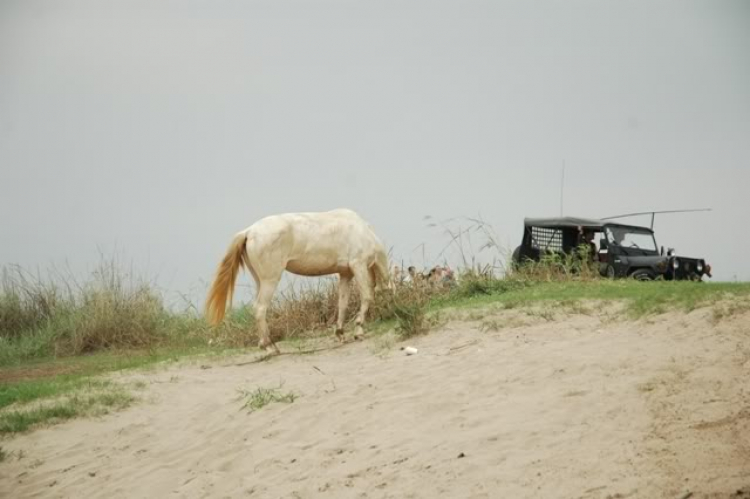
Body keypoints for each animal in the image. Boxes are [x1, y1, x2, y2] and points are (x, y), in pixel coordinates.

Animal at [207, 207, 394, 352]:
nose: (394, 314)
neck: (363, 232)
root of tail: (249, 231)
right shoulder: (358, 265)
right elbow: (367, 296)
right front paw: (358, 330)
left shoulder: (346, 274)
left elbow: (342, 303)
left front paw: (340, 333)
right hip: (270, 280)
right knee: (260, 309)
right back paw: (270, 347)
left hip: (260, 280)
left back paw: (267, 345)